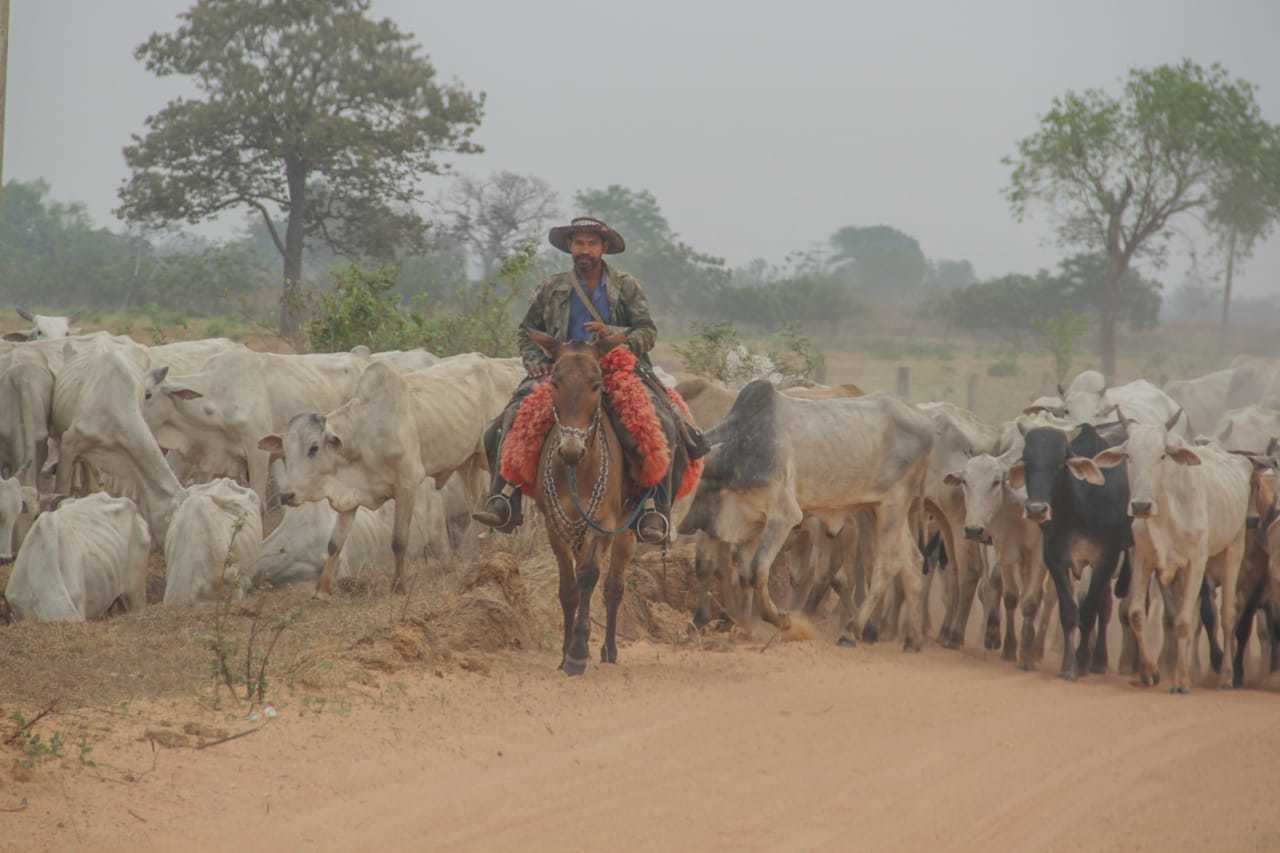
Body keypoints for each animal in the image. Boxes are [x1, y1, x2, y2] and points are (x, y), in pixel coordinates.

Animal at [262, 350, 522, 591]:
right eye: (285, 451)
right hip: (468, 463)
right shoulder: (351, 497)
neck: (364, 435)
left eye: (314, 447)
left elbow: (398, 540)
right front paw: (322, 590)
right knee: (478, 502)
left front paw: (398, 585)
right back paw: (482, 547)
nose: (287, 495)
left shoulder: (407, 485)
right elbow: (334, 544)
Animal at [524, 327, 634, 676]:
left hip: (627, 531)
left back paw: (609, 649)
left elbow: (588, 577)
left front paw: (578, 651)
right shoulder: (555, 526)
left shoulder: (602, 524)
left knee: (614, 587)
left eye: (597, 384)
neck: (578, 471)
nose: (571, 450)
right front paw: (564, 653)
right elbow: (568, 588)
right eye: (555, 382)